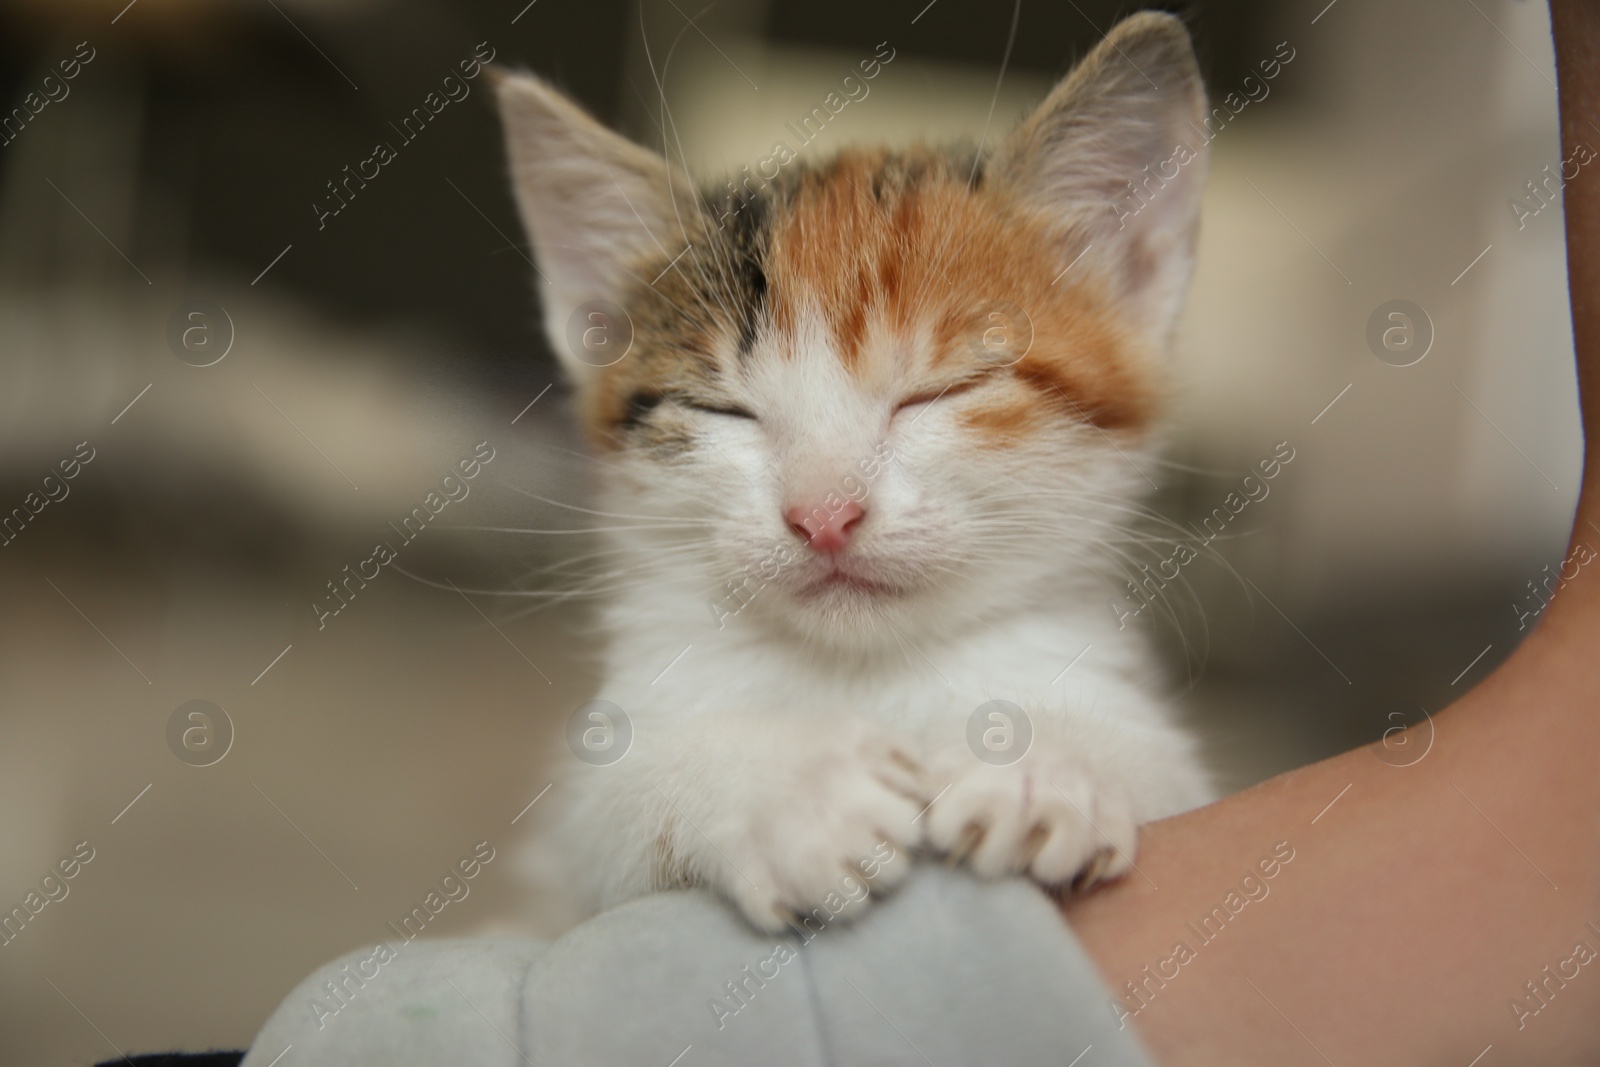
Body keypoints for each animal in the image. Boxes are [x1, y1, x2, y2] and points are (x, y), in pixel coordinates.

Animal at [492, 12, 1203, 927]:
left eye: (942, 390)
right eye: (725, 410)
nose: (823, 514)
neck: (864, 672)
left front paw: (1050, 761)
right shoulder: (565, 864)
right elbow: (607, 813)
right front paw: (789, 784)